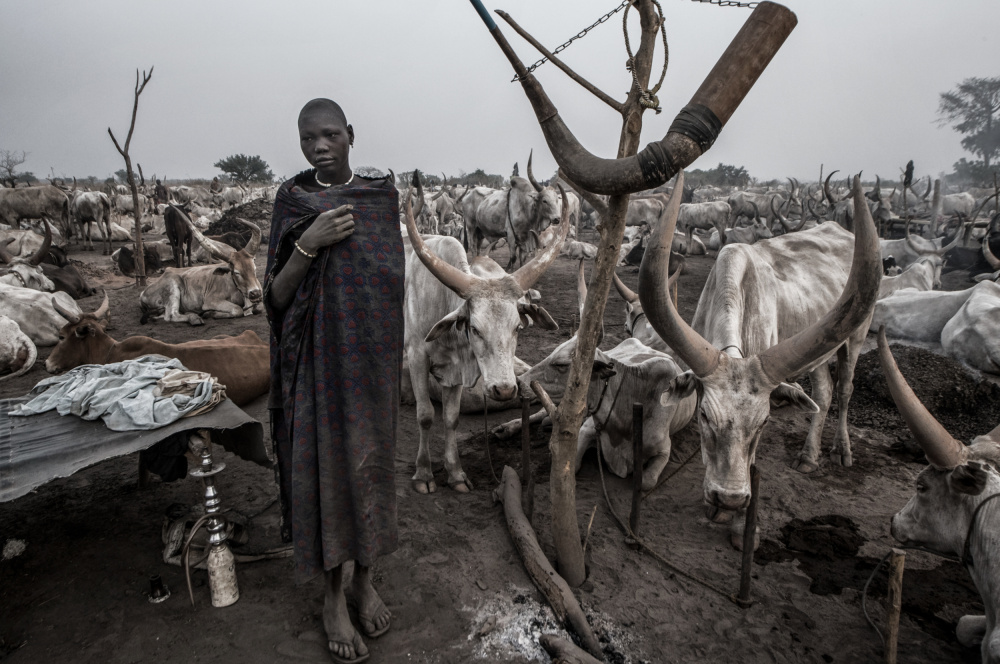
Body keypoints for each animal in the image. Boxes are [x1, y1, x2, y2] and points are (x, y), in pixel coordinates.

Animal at [402, 187, 568, 492]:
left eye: (517, 328)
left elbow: (451, 418)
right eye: (476, 329)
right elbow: (426, 415)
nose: (504, 390)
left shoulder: (453, 370)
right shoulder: (417, 356)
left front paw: (455, 473)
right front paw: (424, 474)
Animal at [636, 175, 880, 524]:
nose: (730, 498)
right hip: (818, 348)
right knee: (823, 393)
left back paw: (841, 450)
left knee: (846, 389)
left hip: (856, 336)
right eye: (704, 415)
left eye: (764, 422)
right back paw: (809, 456)